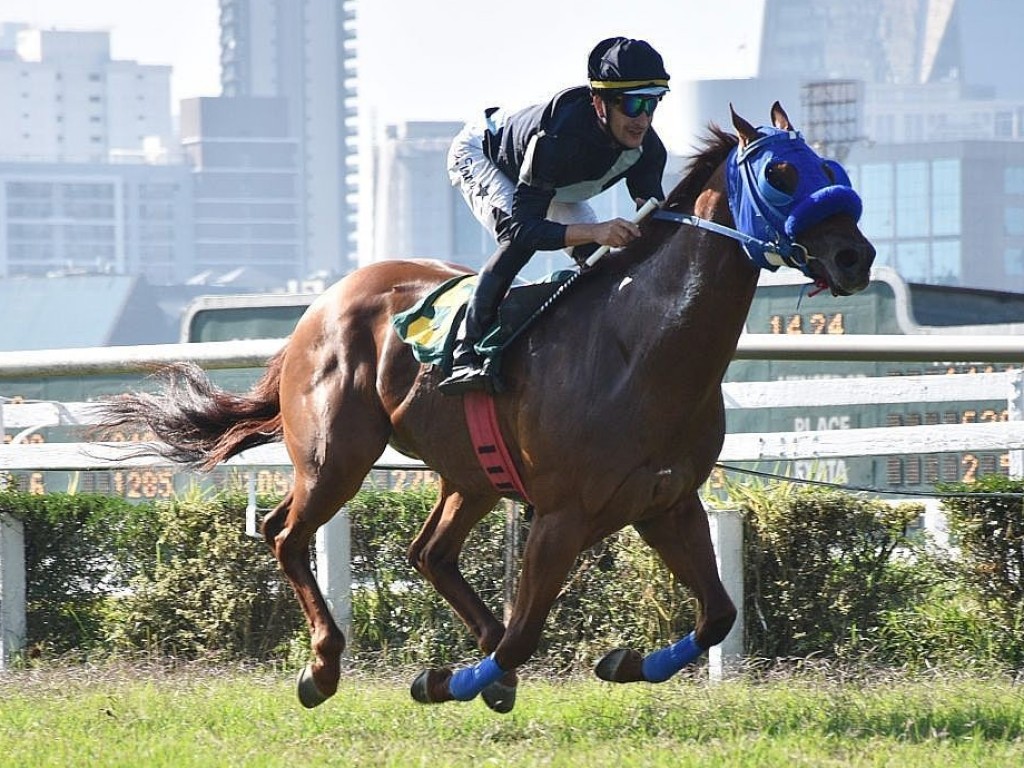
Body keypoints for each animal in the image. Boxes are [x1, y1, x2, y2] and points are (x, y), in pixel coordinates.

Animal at [99, 103, 876, 716]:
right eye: (780, 175)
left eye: (830, 162)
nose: (855, 256)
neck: (641, 348)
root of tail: (318, 306)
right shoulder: (562, 516)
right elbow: (527, 632)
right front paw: (447, 680)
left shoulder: (667, 502)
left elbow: (717, 615)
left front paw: (623, 662)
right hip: (335, 458)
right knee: (286, 534)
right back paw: (323, 667)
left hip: (468, 475)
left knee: (427, 553)